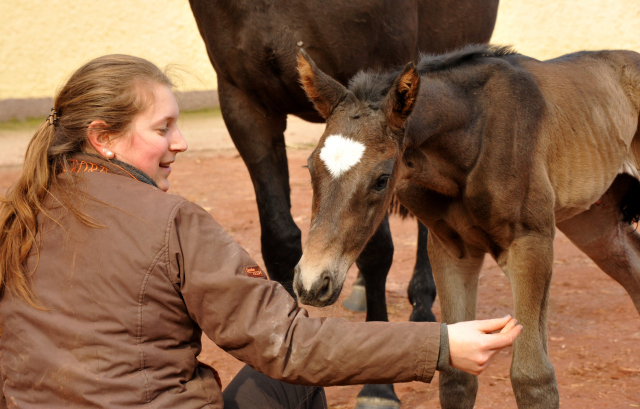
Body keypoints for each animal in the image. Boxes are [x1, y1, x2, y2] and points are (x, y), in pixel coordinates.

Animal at [296, 45, 640, 408]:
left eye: (381, 179)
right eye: (310, 167)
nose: (311, 283)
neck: (473, 136)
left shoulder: (531, 244)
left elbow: (534, 377)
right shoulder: (452, 250)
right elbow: (456, 375)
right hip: (595, 223)